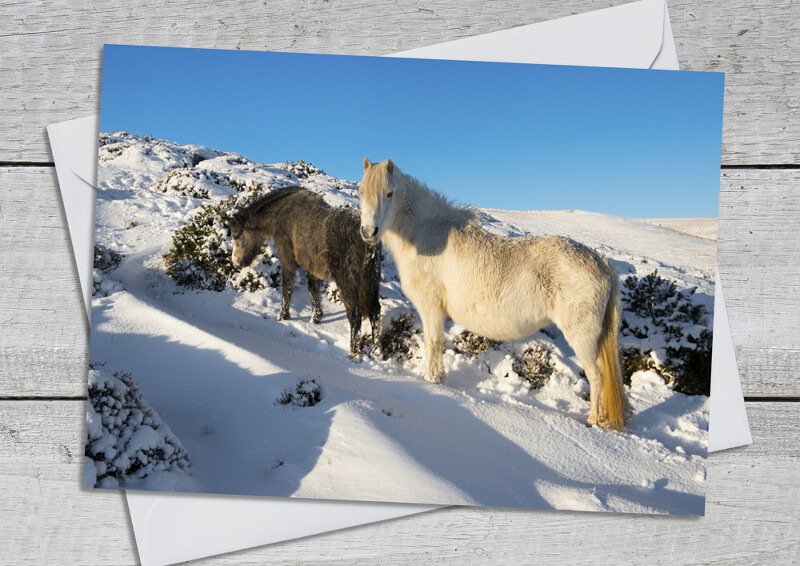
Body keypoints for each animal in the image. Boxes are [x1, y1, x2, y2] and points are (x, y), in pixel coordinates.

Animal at [360, 159, 628, 430]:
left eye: (389, 193)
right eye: (361, 192)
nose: (368, 232)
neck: (426, 234)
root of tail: (603, 263)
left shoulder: (431, 308)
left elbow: (433, 344)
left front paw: (432, 380)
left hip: (582, 336)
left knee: (597, 376)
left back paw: (593, 421)